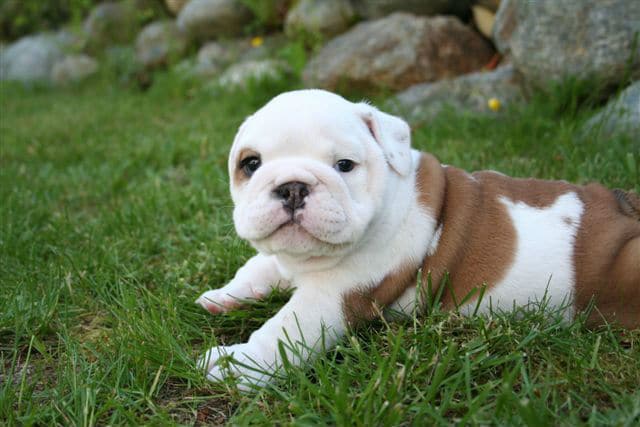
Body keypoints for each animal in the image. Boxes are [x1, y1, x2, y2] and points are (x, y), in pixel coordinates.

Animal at [196, 88, 640, 390]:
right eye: (250, 164)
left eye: (345, 165)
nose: (292, 187)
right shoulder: (289, 257)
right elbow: (259, 266)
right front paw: (225, 295)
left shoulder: (333, 295)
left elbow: (283, 332)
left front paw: (236, 364)